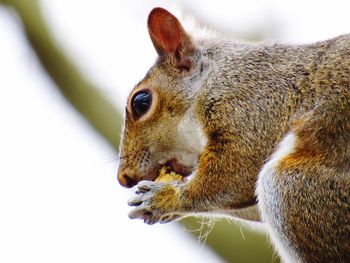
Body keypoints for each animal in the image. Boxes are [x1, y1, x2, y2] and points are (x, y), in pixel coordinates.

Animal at [117, 6, 350, 263]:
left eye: (141, 102)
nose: (123, 177)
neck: (215, 75)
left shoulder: (254, 104)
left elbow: (237, 173)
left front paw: (165, 198)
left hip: (291, 187)